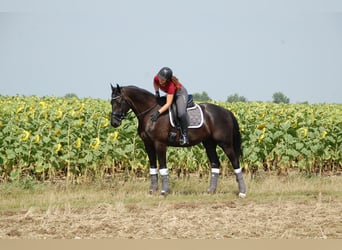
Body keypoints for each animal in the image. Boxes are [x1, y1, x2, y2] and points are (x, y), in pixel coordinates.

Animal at [110, 84, 246, 197]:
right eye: (111, 102)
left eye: (119, 101)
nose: (114, 123)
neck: (151, 113)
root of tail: (226, 112)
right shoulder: (148, 144)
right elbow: (153, 167)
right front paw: (152, 190)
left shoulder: (160, 144)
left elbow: (163, 167)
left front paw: (164, 191)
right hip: (209, 144)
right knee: (215, 164)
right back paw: (211, 191)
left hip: (225, 144)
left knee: (235, 163)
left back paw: (242, 192)